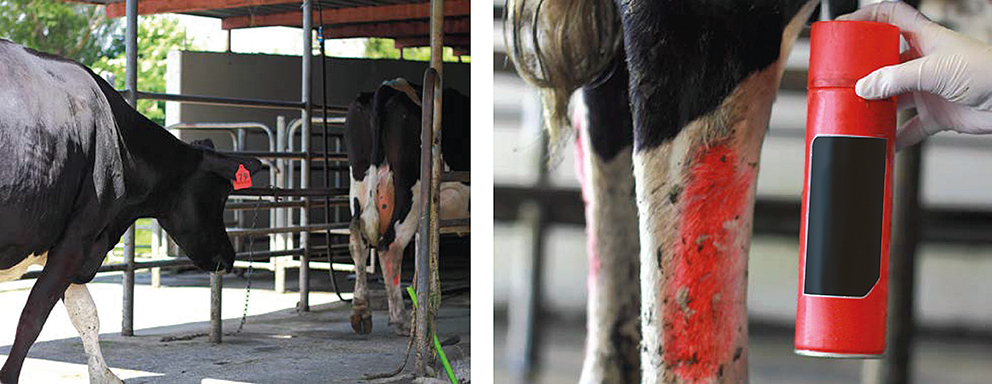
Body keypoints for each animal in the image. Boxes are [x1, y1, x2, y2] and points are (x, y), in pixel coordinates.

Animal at [0, 38, 262, 380]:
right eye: (221, 196)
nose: (228, 258)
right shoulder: (80, 235)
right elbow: (33, 317)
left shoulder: (77, 241)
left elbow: (84, 312)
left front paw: (104, 375)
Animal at [342, 79, 470, 336]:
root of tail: (390, 86)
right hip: (412, 187)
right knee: (390, 244)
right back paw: (400, 319)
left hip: (359, 178)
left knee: (358, 238)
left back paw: (361, 312)